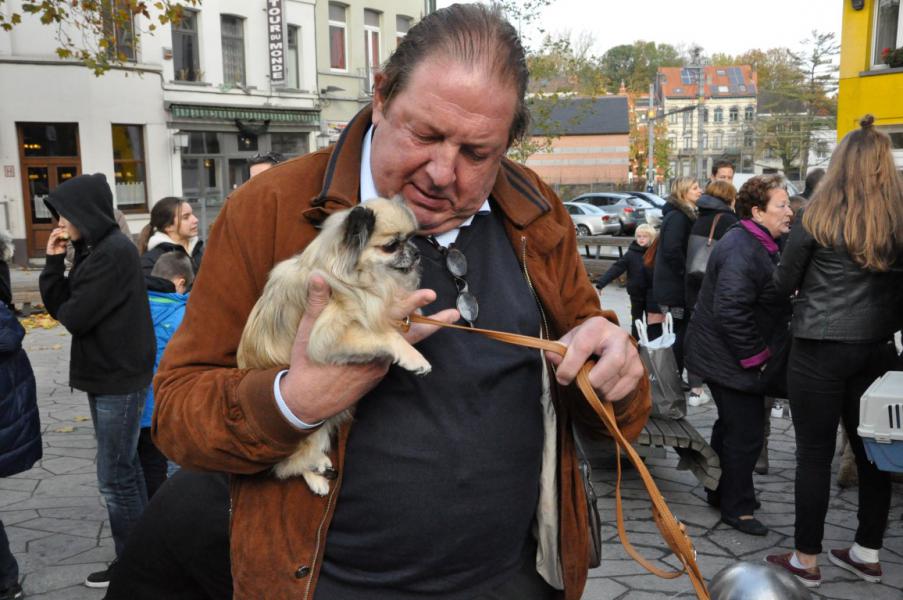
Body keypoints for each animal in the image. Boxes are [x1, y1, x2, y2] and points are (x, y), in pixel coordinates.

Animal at [235, 196, 430, 492]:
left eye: (411, 238)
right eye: (392, 245)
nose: (416, 251)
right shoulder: (325, 336)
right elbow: (385, 335)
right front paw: (414, 357)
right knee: (289, 465)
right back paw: (316, 473)